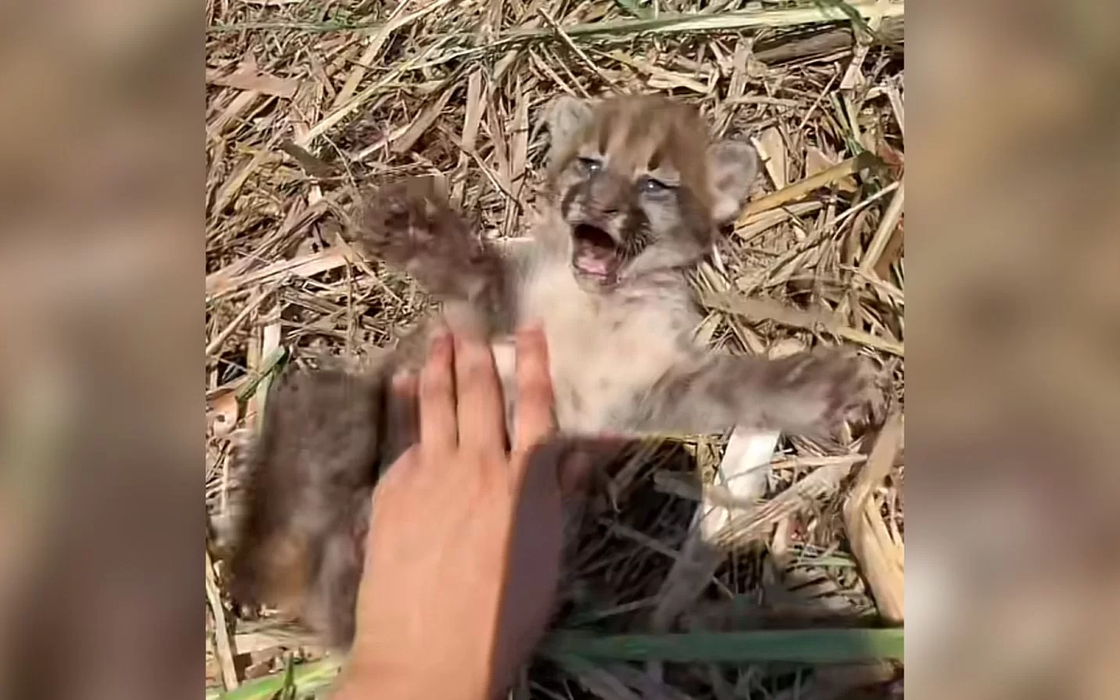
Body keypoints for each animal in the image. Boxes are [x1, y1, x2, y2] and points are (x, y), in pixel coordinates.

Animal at [225, 94, 873, 649]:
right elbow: (473, 269)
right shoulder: (492, 318)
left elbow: (736, 387)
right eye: (590, 163)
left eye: (654, 183)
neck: (601, 304)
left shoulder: (650, 391)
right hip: (331, 404)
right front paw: (412, 225)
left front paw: (819, 387)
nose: (598, 206)